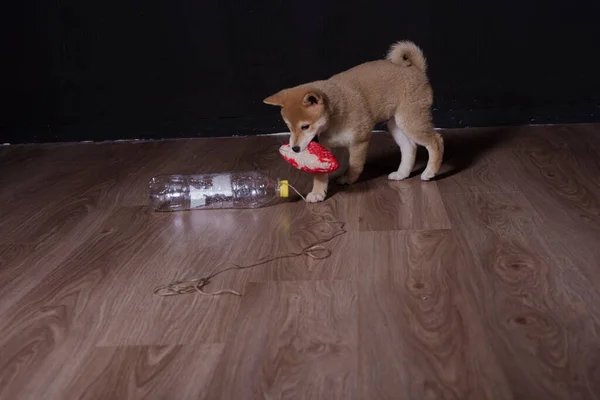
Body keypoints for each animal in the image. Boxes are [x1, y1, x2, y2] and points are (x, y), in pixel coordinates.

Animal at [264, 41, 442, 203]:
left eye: (305, 126)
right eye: (289, 127)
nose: (294, 148)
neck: (335, 116)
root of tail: (416, 69)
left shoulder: (359, 141)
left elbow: (354, 165)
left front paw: (348, 179)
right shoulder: (325, 148)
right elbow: (320, 174)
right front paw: (318, 192)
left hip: (410, 121)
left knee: (436, 141)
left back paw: (430, 172)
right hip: (396, 124)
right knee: (409, 147)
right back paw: (402, 173)